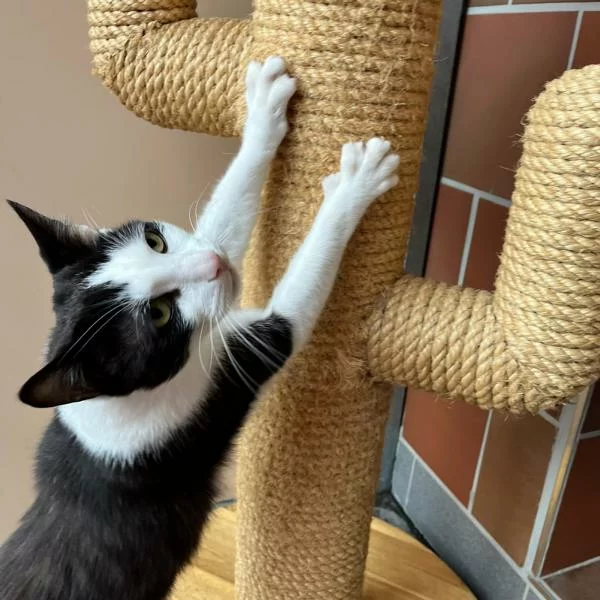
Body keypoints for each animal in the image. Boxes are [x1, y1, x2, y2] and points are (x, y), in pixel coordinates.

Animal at [0, 56, 400, 600]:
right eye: (159, 314)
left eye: (155, 240)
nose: (213, 266)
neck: (113, 405)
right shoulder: (215, 385)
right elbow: (292, 310)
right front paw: (356, 185)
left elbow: (224, 218)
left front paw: (262, 108)